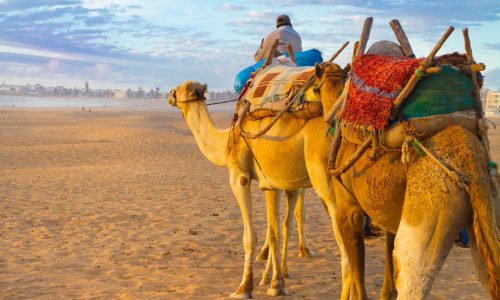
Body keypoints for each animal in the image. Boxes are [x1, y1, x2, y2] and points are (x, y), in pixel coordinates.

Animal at [168, 63, 348, 298]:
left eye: (181, 89)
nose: (169, 94)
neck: (227, 140)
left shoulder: (239, 177)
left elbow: (250, 236)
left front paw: (245, 287)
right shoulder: (274, 182)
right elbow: (277, 230)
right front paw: (275, 282)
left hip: (325, 178)